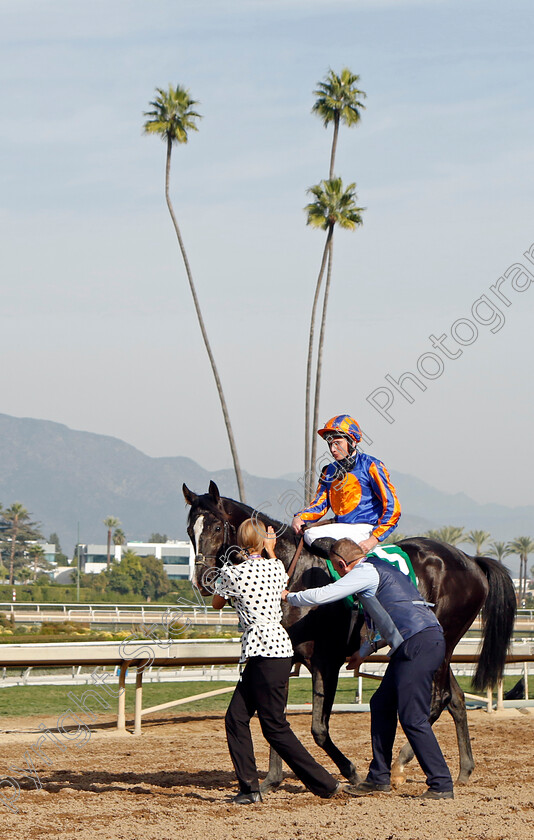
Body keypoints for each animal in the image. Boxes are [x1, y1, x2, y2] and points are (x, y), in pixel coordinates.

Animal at [184, 482, 520, 792]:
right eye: (190, 530)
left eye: (216, 526)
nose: (202, 580)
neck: (293, 570)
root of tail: (471, 560)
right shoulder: (284, 657)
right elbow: (274, 716)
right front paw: (272, 779)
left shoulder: (325, 662)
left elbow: (319, 728)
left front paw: (351, 772)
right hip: (440, 647)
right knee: (456, 699)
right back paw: (464, 769)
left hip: (446, 639)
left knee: (440, 698)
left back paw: (399, 764)